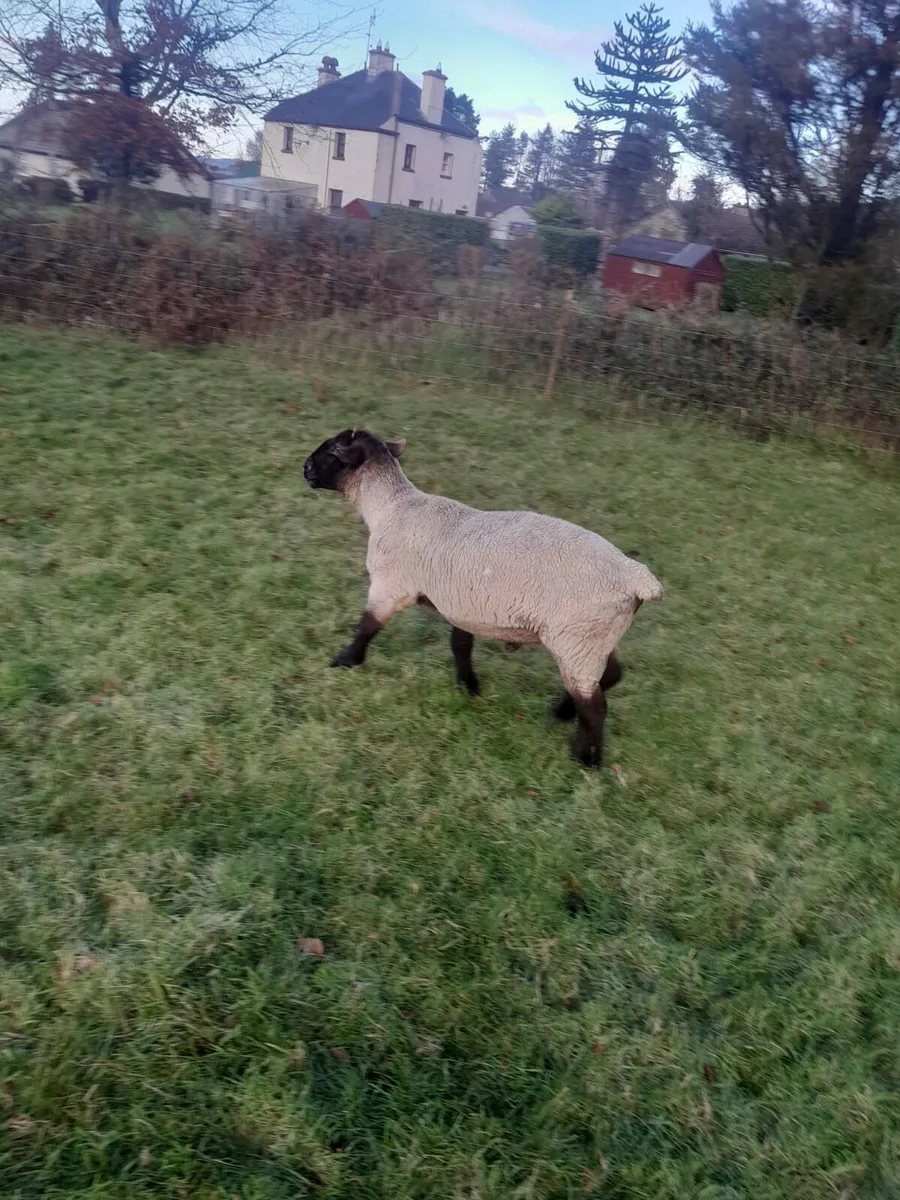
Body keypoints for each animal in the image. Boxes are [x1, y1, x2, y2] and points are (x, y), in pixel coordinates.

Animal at [303, 428, 663, 768]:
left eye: (332, 451)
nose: (305, 468)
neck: (391, 507)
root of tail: (637, 578)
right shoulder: (460, 603)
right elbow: (460, 645)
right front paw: (468, 686)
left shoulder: (390, 586)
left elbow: (367, 626)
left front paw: (345, 661)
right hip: (596, 637)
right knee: (611, 676)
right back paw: (562, 712)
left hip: (577, 639)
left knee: (595, 705)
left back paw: (586, 760)